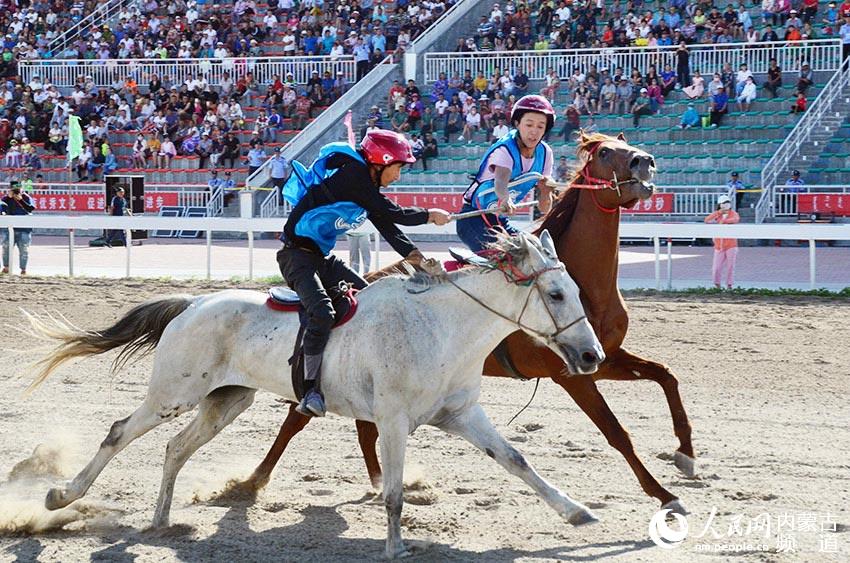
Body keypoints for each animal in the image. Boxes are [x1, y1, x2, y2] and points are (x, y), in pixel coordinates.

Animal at [28, 230, 604, 560]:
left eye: (577, 291)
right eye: (556, 294)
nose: (592, 356)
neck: (439, 326)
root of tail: (194, 303)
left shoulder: (462, 415)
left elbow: (517, 461)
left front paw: (576, 512)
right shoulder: (393, 422)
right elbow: (394, 491)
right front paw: (396, 547)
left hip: (226, 402)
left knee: (175, 448)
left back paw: (162, 521)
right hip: (173, 394)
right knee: (119, 432)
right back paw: (60, 497)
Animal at [242, 132, 692, 516]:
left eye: (625, 145)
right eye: (605, 152)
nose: (646, 162)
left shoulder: (602, 356)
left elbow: (666, 375)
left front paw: (685, 455)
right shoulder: (571, 373)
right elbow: (617, 432)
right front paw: (663, 494)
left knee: (364, 429)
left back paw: (379, 481)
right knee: (296, 417)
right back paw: (251, 480)